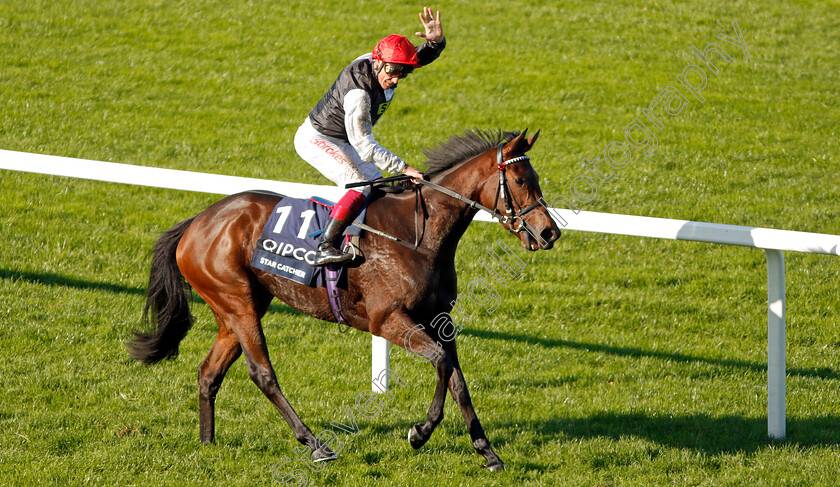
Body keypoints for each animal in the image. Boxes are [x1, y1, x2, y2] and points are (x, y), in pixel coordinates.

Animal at [128, 130, 560, 472]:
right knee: (262, 373)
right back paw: (315, 444)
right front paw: (420, 432)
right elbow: (440, 363)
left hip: (236, 308)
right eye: (519, 179)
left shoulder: (440, 318)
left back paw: (208, 443)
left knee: (209, 372)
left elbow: (457, 379)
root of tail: (196, 222)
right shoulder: (387, 320)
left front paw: (487, 453)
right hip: (238, 304)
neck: (419, 236)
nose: (549, 232)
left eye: (535, 177)